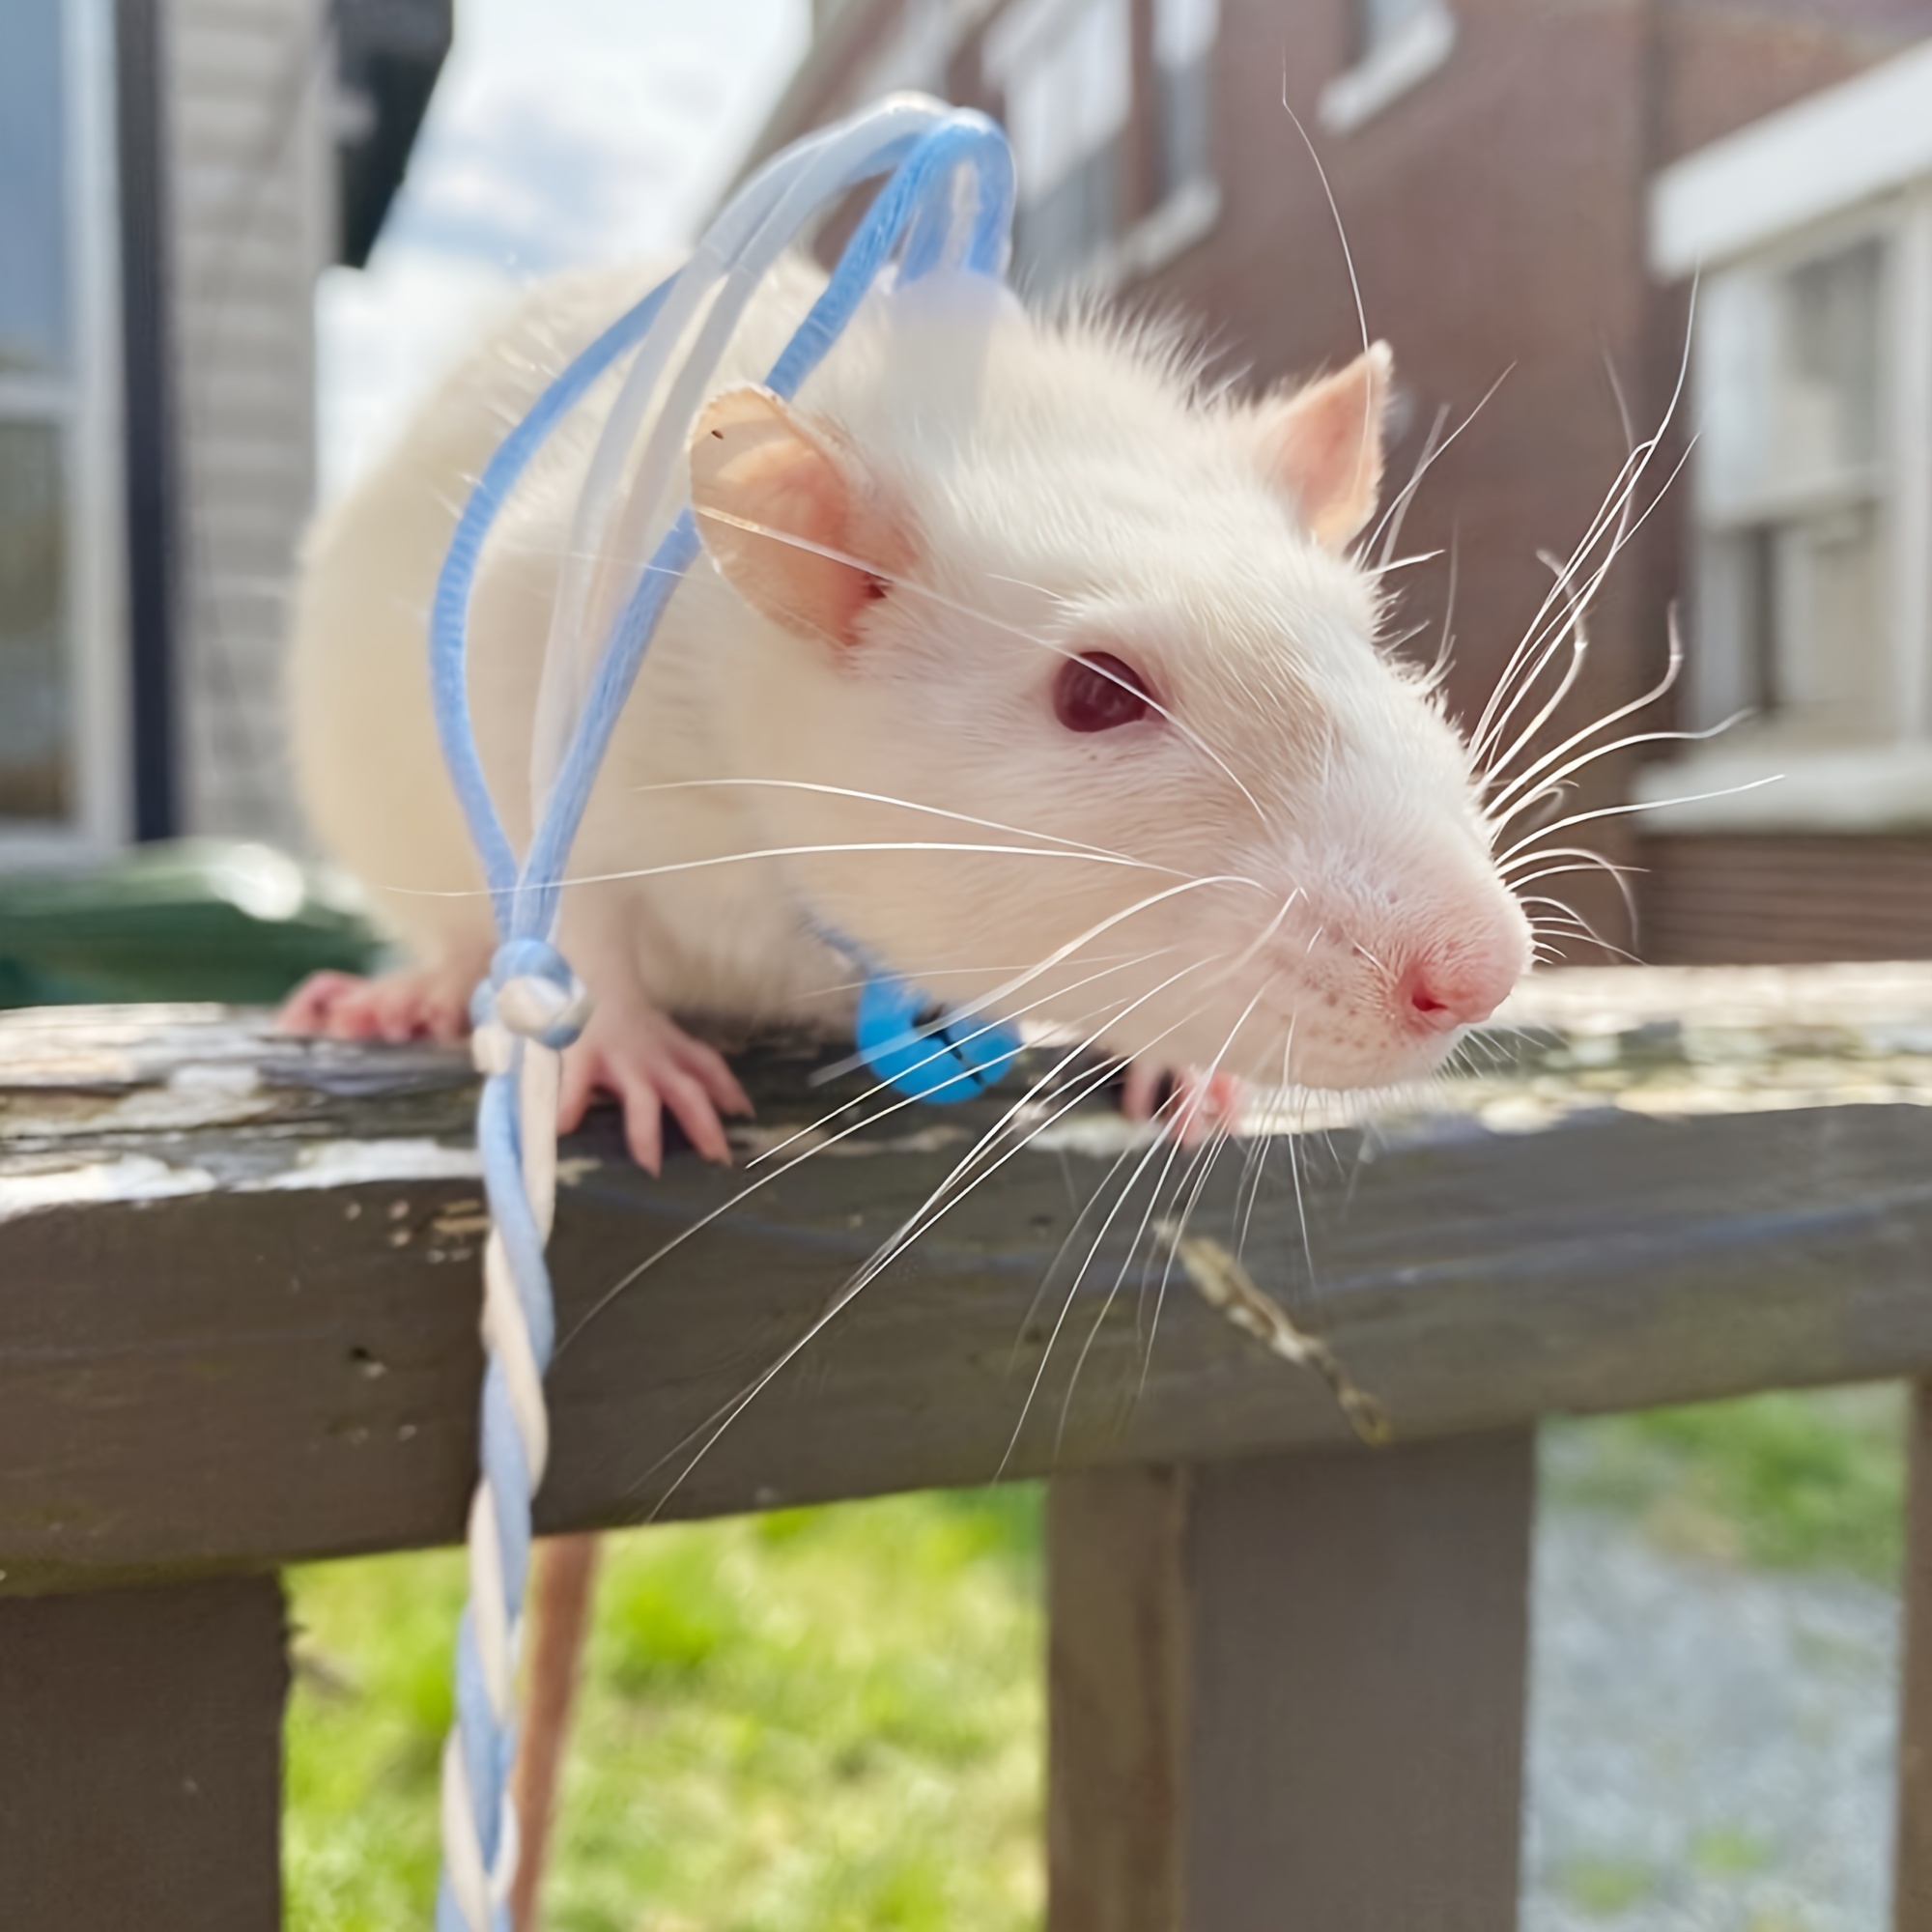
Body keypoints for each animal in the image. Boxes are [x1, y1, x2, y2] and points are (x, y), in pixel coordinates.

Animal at [282, 254, 1531, 1169]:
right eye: (1096, 691)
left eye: (1365, 640)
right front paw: (626, 1044)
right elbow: (568, 894)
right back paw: (412, 990)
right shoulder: (548, 639)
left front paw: (1182, 1062)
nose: (1476, 969)